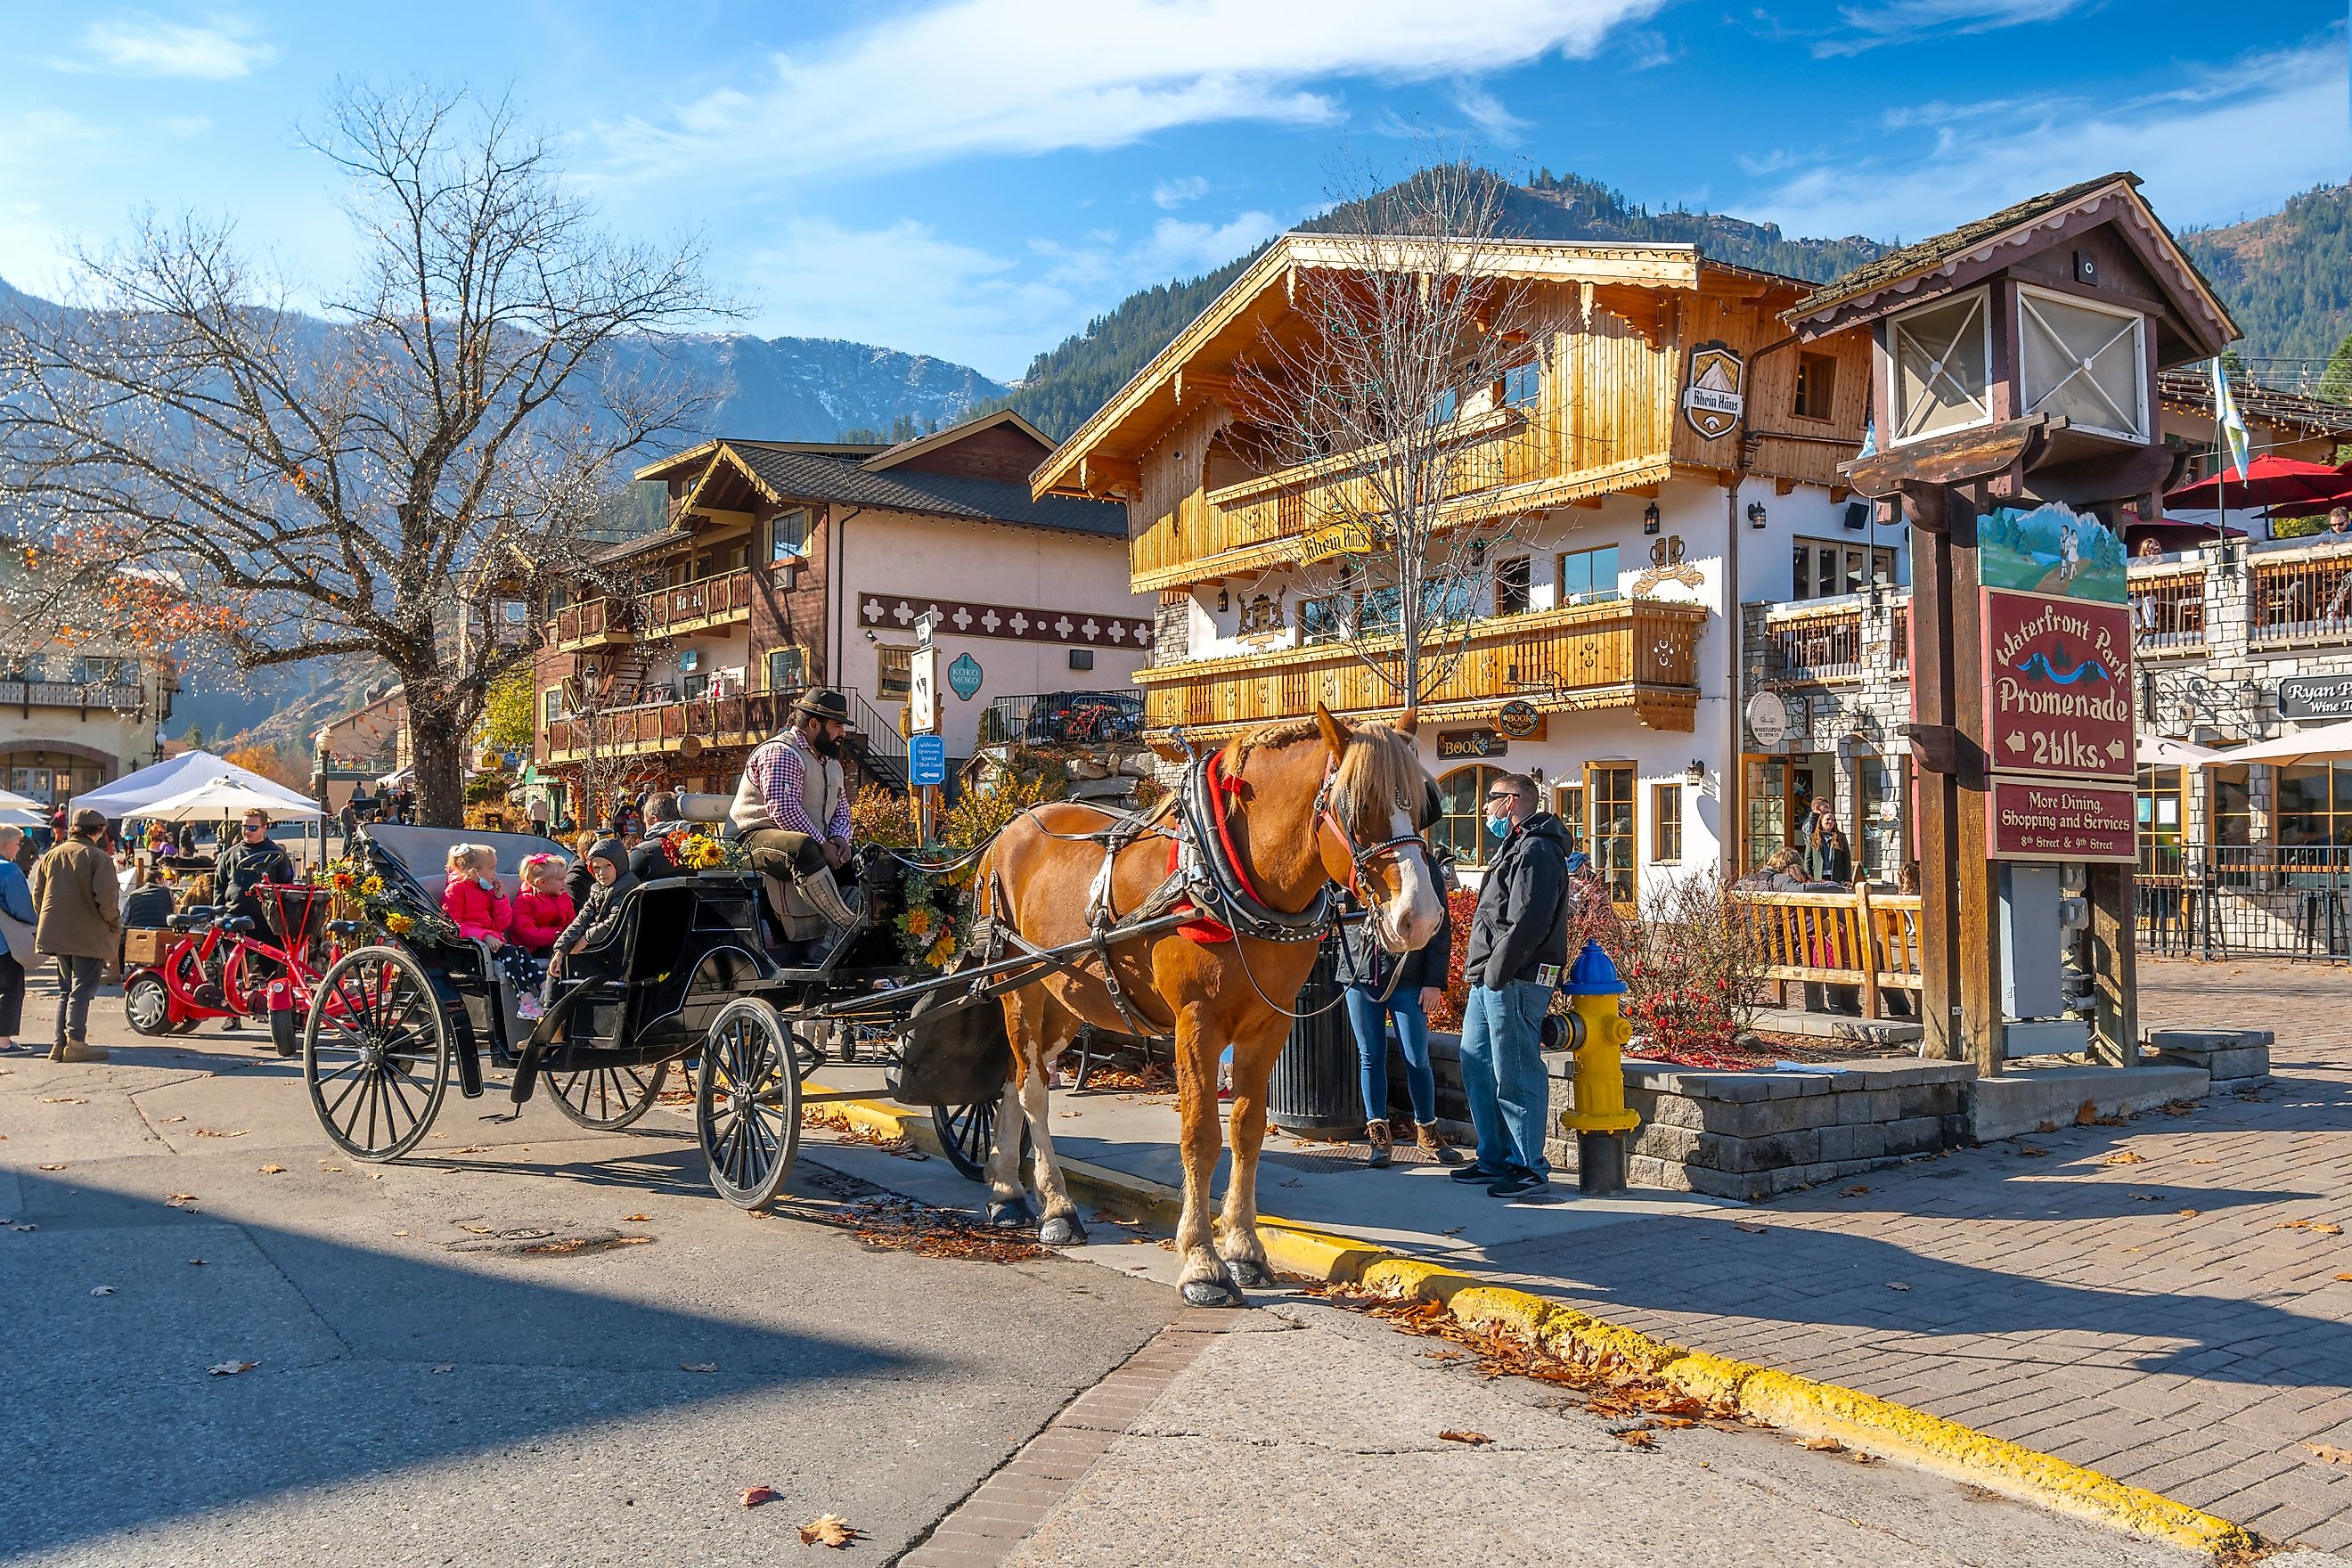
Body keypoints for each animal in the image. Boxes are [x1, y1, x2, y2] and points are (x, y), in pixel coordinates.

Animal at [964, 705, 1439, 1307]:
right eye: (1357, 808)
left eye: (1424, 805)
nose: (1420, 917)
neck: (1232, 873)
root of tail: (1009, 831)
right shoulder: (1197, 1023)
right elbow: (1200, 1136)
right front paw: (1201, 1263)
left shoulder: (1269, 1024)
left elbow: (1247, 1130)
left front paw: (1244, 1249)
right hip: (1016, 983)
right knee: (1032, 1090)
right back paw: (1058, 1207)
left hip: (1066, 998)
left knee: (1019, 1078)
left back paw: (1007, 1189)